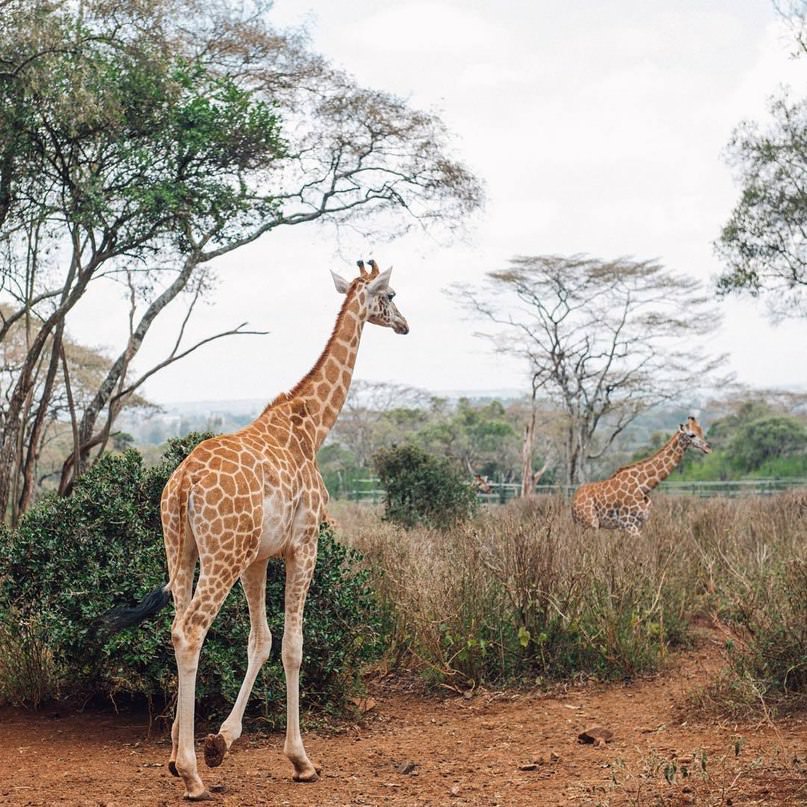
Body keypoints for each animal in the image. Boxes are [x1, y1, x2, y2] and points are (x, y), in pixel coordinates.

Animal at [102, 258, 410, 800]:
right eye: (390, 295)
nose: (405, 325)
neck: (311, 427)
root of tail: (184, 484)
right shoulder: (304, 544)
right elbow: (292, 646)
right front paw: (301, 759)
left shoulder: (259, 556)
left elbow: (260, 641)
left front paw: (220, 741)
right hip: (222, 554)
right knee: (191, 631)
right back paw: (192, 776)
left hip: (181, 549)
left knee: (178, 626)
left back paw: (177, 757)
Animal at [572, 416, 712, 536]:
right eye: (692, 434)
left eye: (701, 431)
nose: (708, 448)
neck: (644, 485)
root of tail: (573, 502)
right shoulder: (629, 524)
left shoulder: (639, 524)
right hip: (590, 524)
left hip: (583, 526)